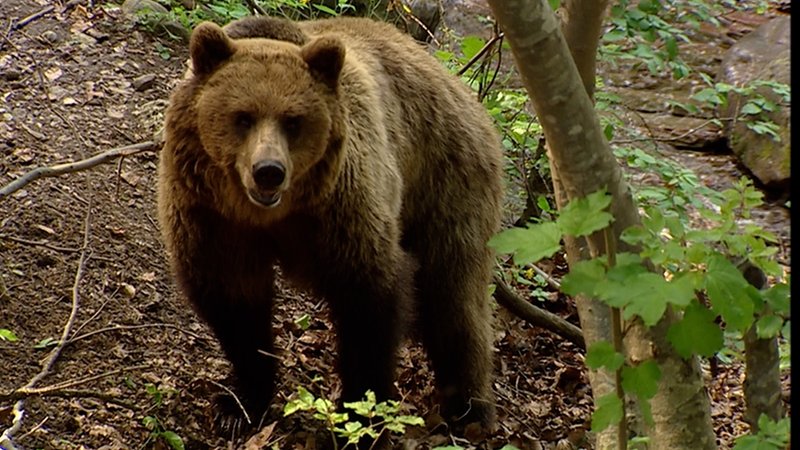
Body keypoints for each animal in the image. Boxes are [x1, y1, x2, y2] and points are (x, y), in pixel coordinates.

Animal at [157, 15, 504, 439]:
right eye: (242, 117)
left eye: (293, 121)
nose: (268, 171)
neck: (268, 215)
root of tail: (463, 90)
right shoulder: (212, 218)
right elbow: (235, 305)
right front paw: (237, 405)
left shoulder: (342, 208)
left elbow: (370, 298)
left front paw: (359, 413)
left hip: (447, 181)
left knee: (454, 298)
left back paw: (470, 409)